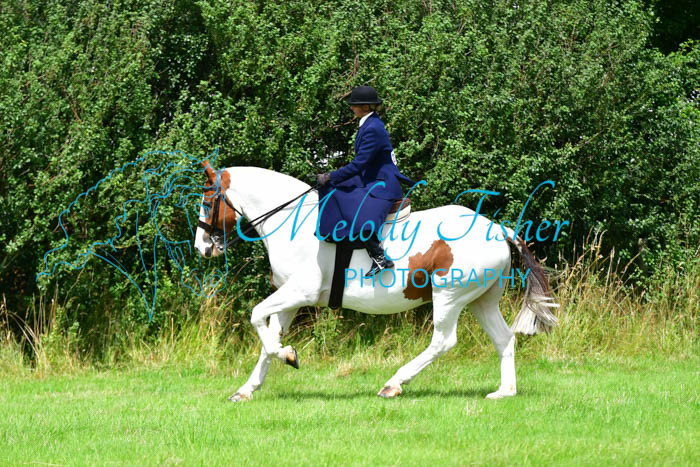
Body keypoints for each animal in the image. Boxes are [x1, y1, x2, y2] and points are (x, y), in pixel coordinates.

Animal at [194, 162, 558, 401]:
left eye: (208, 202)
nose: (202, 247)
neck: (290, 221)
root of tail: (498, 228)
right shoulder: (289, 297)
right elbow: (268, 337)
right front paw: (247, 388)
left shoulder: (300, 291)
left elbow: (257, 317)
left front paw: (289, 357)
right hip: (482, 300)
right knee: (503, 338)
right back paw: (504, 392)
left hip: (449, 295)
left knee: (443, 341)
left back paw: (394, 383)